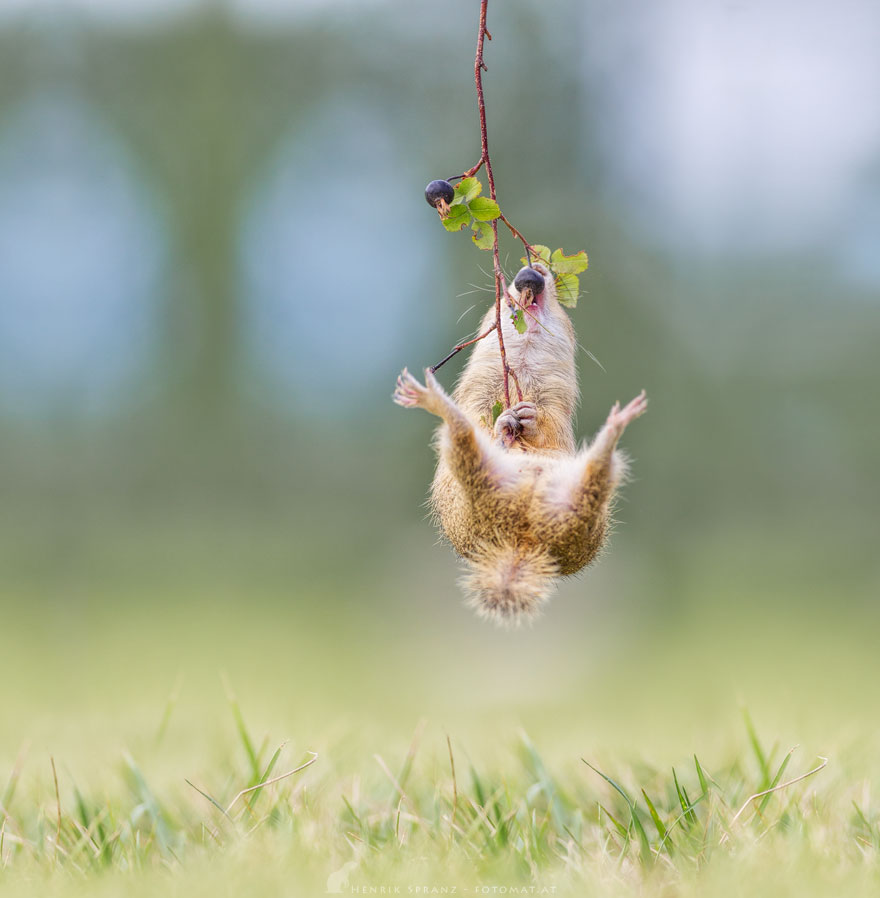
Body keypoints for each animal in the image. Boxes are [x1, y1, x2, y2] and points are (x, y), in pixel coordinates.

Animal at [393, 261, 647, 625]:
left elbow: (550, 426)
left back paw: (618, 421)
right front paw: (505, 421)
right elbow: (479, 419)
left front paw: (530, 417)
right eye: (499, 303)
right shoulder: (477, 397)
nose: (531, 274)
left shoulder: (557, 408)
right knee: (462, 429)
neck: (522, 372)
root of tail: (520, 540)